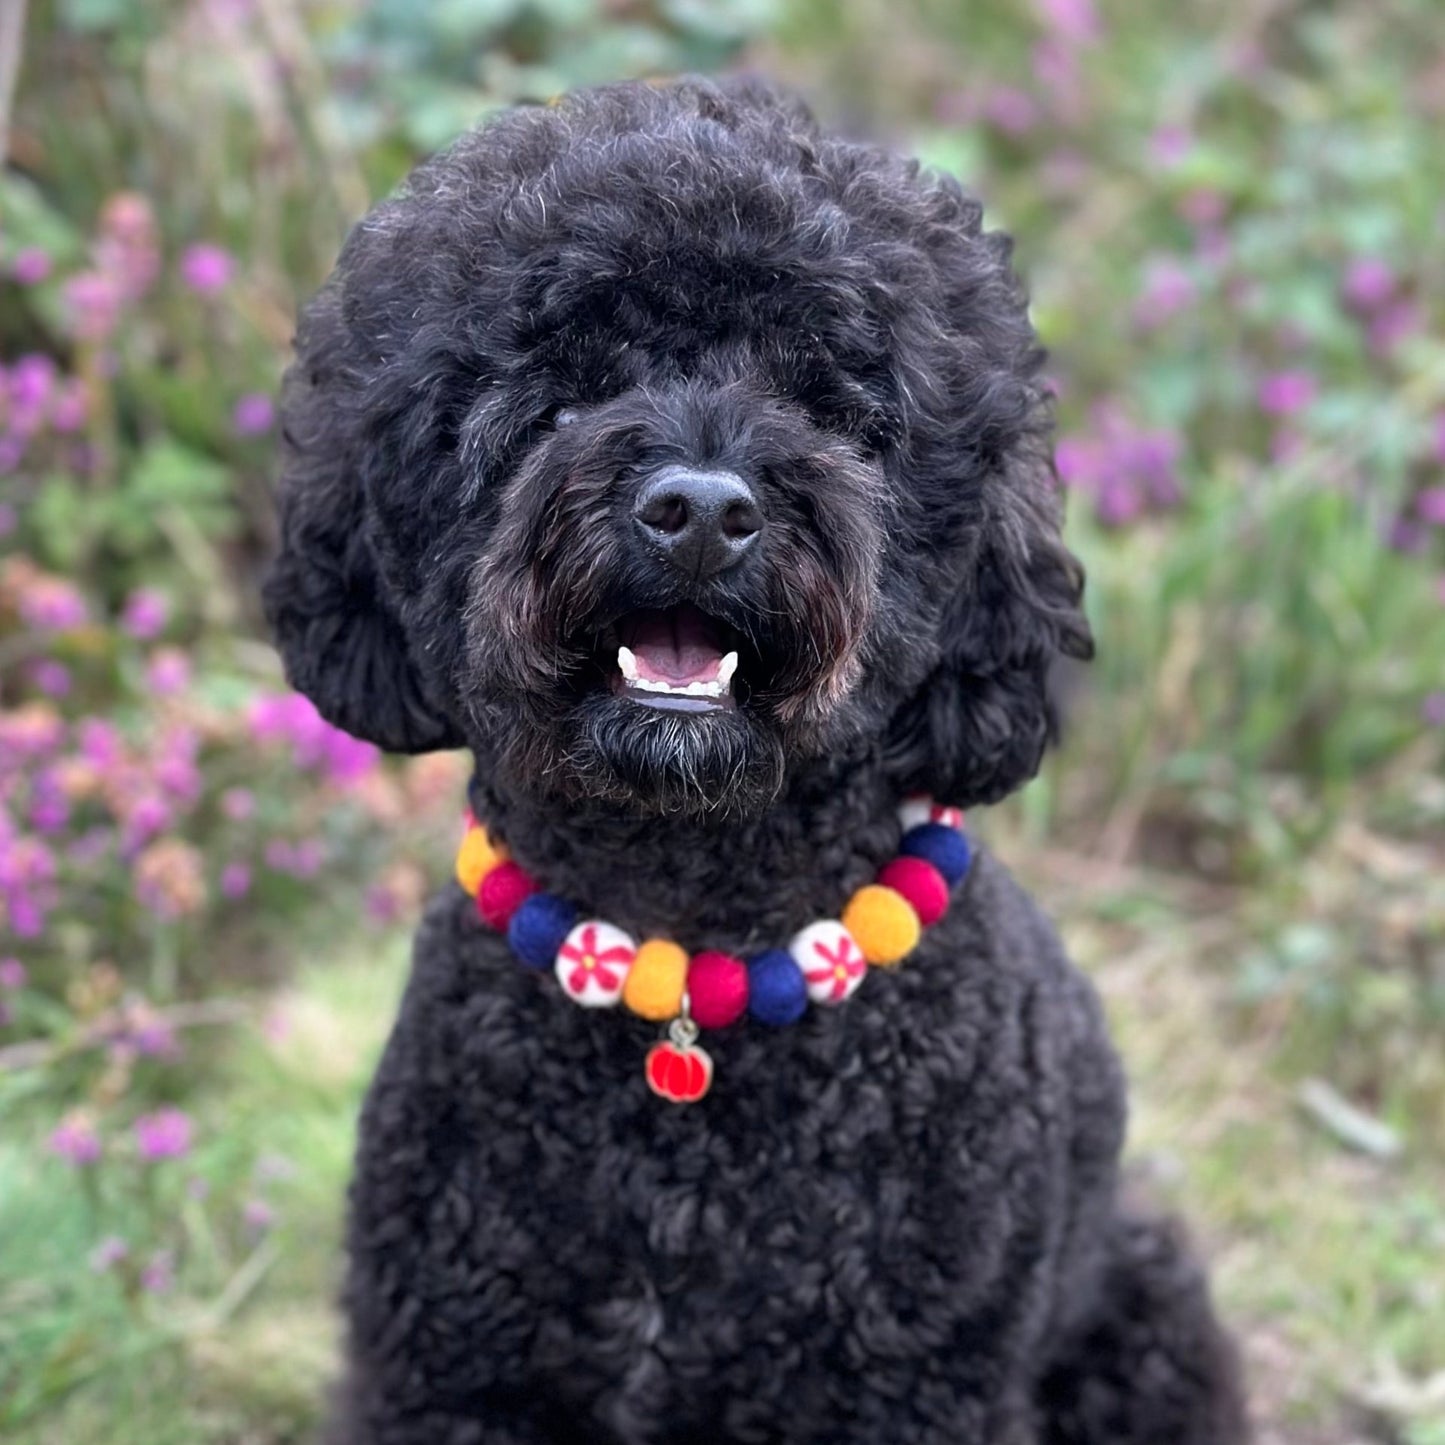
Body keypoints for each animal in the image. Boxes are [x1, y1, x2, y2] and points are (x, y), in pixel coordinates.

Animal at [262, 79, 1254, 1445]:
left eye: (831, 407)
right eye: (562, 389)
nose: (699, 512)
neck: (689, 954)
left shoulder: (908, 1388)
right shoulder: (453, 1372)